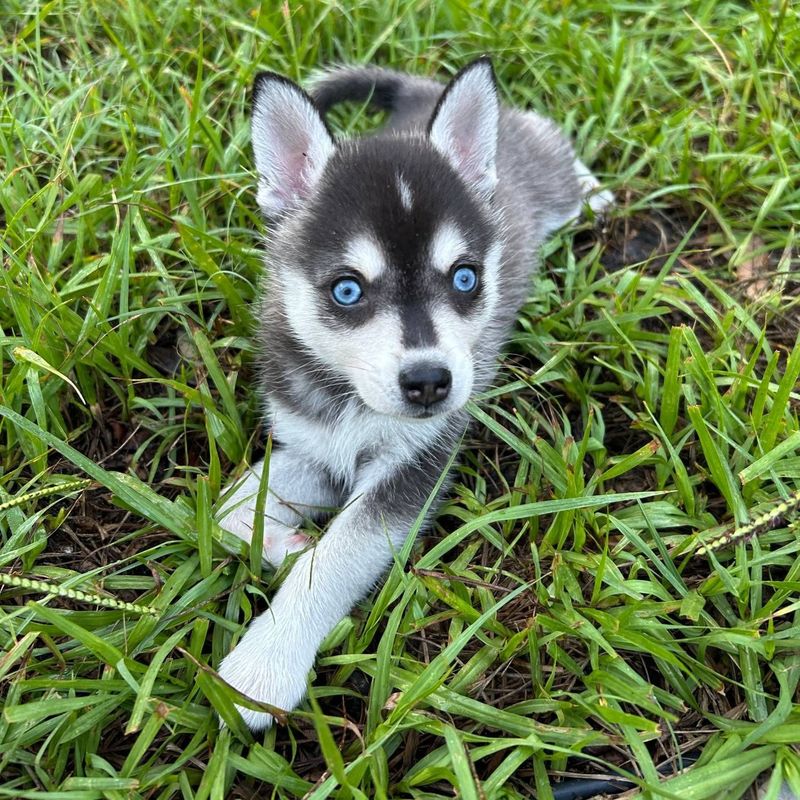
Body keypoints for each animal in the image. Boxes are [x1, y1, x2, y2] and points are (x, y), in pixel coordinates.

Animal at [216, 56, 608, 732]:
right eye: (347, 291)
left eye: (466, 278)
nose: (429, 382)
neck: (352, 401)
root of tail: (422, 92)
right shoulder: (316, 449)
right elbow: (227, 509)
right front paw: (284, 544)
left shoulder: (411, 470)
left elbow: (337, 558)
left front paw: (263, 667)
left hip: (541, 172)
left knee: (556, 150)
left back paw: (595, 190)